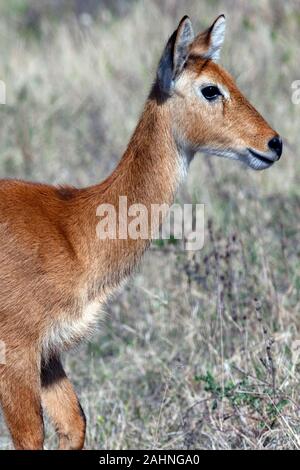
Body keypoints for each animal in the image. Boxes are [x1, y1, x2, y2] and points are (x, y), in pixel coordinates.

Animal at [0, 13, 282, 448]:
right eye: (210, 88)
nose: (274, 143)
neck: (73, 231)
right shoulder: (17, 352)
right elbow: (31, 436)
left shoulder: (50, 355)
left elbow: (75, 422)